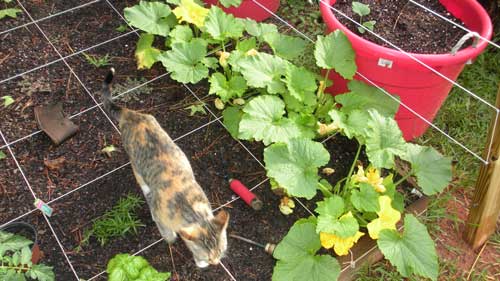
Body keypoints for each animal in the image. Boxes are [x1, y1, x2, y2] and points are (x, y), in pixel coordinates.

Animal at [102, 68, 230, 266]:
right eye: (208, 256)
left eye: (221, 251)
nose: (215, 263)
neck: (192, 210)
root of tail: (130, 114)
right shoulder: (159, 213)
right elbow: (167, 232)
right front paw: (173, 241)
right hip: (135, 162)